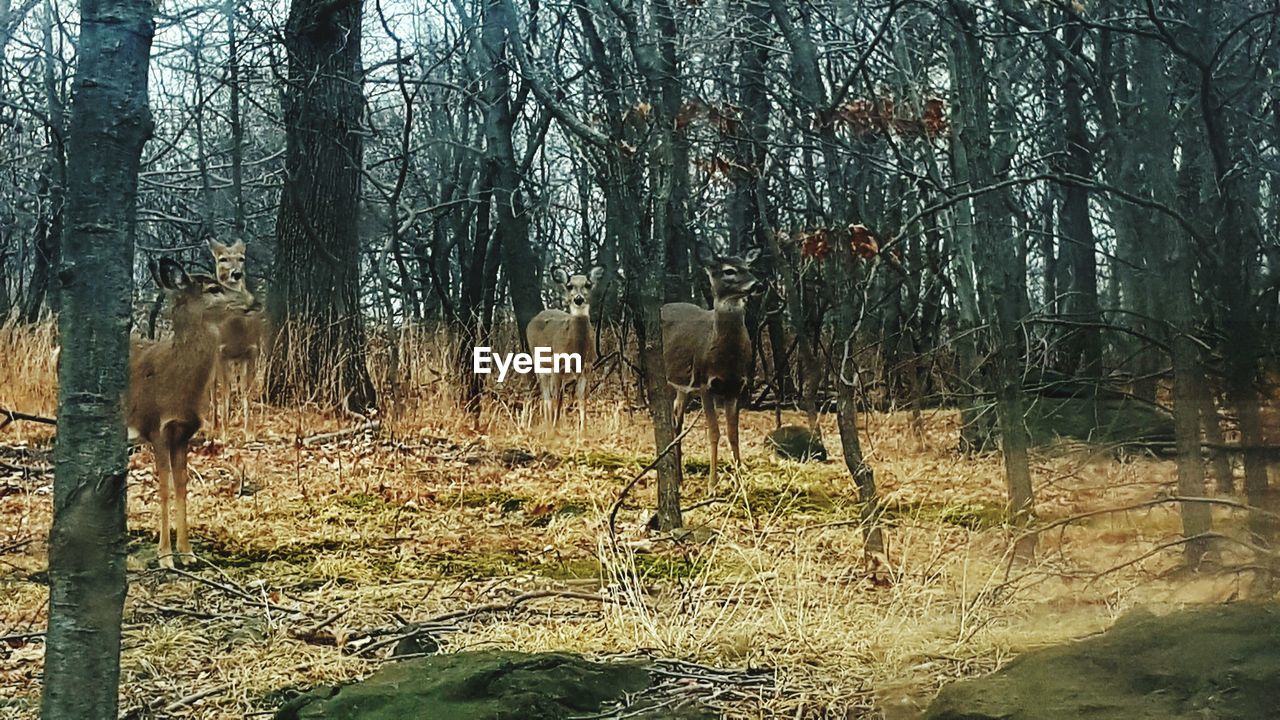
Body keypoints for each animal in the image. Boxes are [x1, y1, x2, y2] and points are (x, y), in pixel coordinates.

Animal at [129, 257, 259, 566]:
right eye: (213, 288)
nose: (253, 300)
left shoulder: (184, 432)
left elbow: (182, 486)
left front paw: (187, 552)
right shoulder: (157, 428)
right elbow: (164, 488)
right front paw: (165, 555)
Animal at [207, 238, 264, 435]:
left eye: (241, 258)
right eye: (222, 259)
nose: (237, 273)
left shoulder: (252, 351)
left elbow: (246, 390)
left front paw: (249, 432)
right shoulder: (220, 353)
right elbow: (224, 391)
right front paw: (225, 433)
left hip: (236, 360)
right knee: (213, 390)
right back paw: (215, 426)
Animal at [524, 266, 604, 435]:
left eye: (588, 284)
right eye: (569, 285)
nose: (578, 299)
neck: (577, 350)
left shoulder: (587, 368)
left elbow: (582, 399)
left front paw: (583, 432)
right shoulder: (557, 366)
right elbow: (558, 399)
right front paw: (555, 430)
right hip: (540, 364)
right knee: (547, 395)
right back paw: (548, 425)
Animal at [660, 244, 757, 481]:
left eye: (749, 267)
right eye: (729, 270)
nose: (757, 284)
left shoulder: (736, 387)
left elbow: (733, 434)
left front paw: (740, 481)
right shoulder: (705, 383)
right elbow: (714, 433)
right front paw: (712, 483)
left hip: (684, 388)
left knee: (677, 418)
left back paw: (679, 476)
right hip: (669, 378)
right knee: (671, 419)